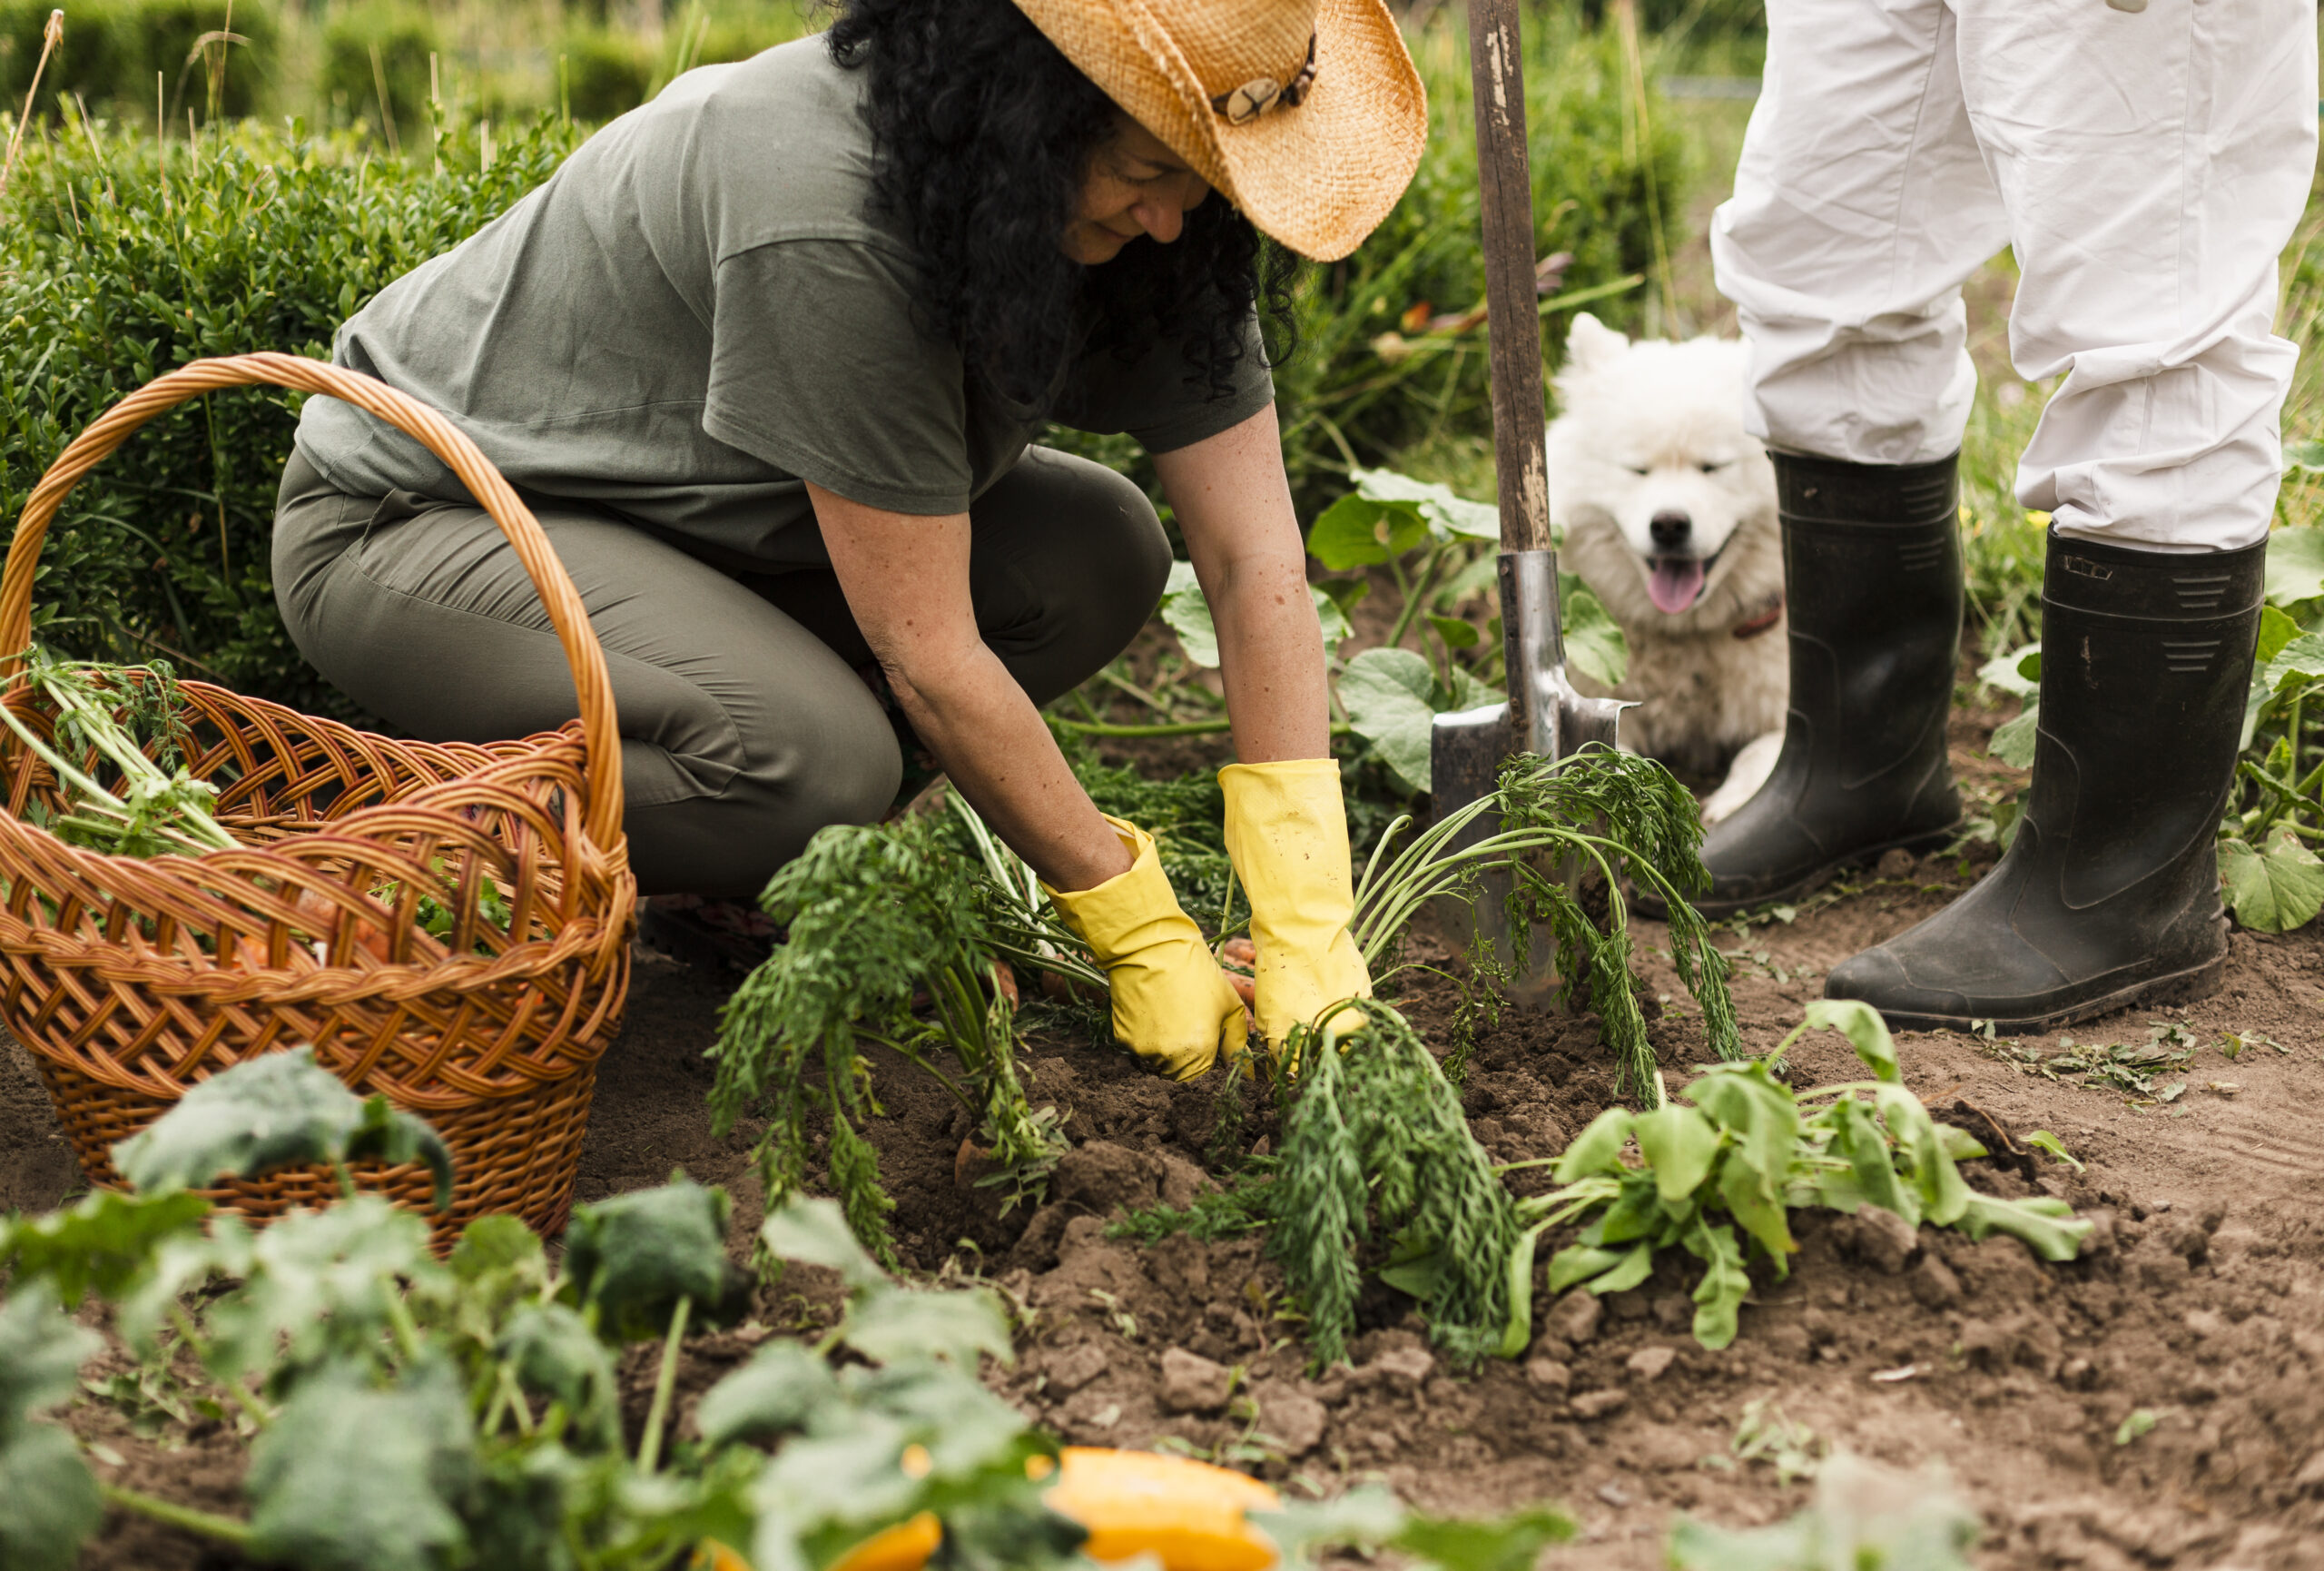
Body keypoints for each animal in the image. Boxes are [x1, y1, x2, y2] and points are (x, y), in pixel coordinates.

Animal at [1552, 309, 1785, 822]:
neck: (1688, 633)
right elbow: (1610, 757)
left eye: (1713, 467)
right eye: (1637, 470)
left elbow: (1764, 752)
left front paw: (1733, 804)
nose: (1670, 525)